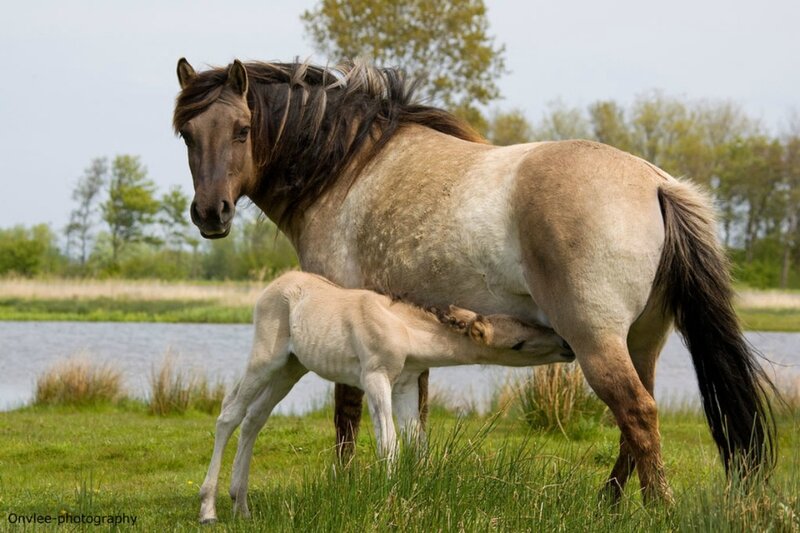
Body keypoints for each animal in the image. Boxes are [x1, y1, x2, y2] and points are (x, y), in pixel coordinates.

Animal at [198, 270, 574, 522]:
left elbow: (417, 443)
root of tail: (274, 285)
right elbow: (389, 443)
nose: (567, 345)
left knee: (254, 419)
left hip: (291, 369)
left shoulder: (406, 384)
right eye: (518, 343)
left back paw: (241, 506)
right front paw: (387, 500)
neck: (404, 330)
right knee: (230, 414)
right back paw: (209, 509)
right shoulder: (376, 377)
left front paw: (414, 494)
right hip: (266, 358)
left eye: (531, 326)